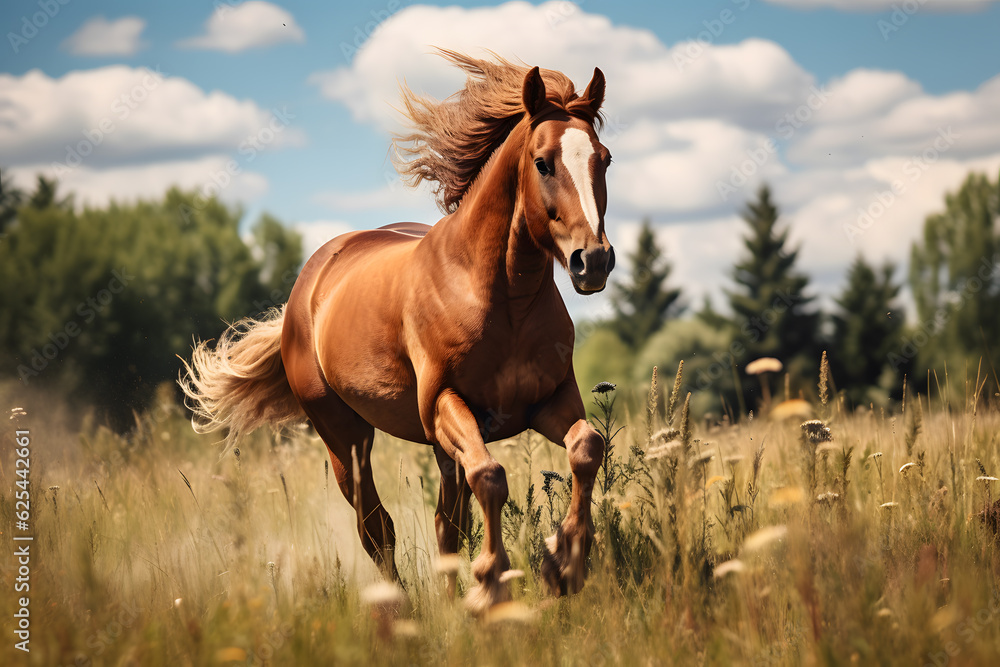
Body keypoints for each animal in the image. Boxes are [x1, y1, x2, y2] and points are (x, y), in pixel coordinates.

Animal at [180, 50, 615, 612]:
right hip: (344, 436)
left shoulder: (549, 400)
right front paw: (490, 586)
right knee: (376, 525)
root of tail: (308, 288)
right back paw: (401, 608)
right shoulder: (444, 406)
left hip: (433, 447)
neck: (502, 299)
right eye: (543, 162)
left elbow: (586, 448)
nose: (593, 261)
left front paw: (563, 565)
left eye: (604, 159)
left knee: (445, 523)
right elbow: (491, 477)